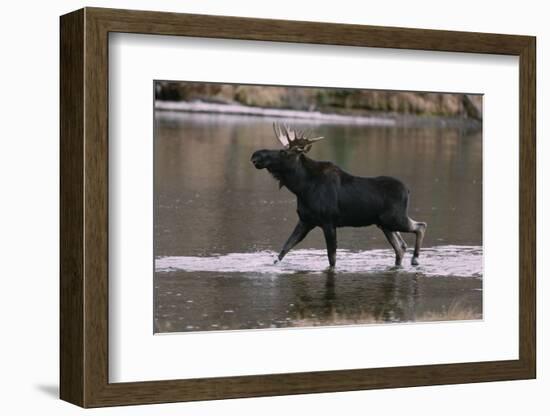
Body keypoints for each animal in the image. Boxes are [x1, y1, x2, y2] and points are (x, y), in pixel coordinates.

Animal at [252, 122, 430, 268]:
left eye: (283, 152)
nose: (256, 155)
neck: (301, 188)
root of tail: (407, 190)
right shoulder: (305, 220)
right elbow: (284, 249)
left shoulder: (328, 222)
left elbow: (332, 258)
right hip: (384, 224)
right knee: (400, 247)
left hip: (394, 219)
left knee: (420, 226)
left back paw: (416, 259)